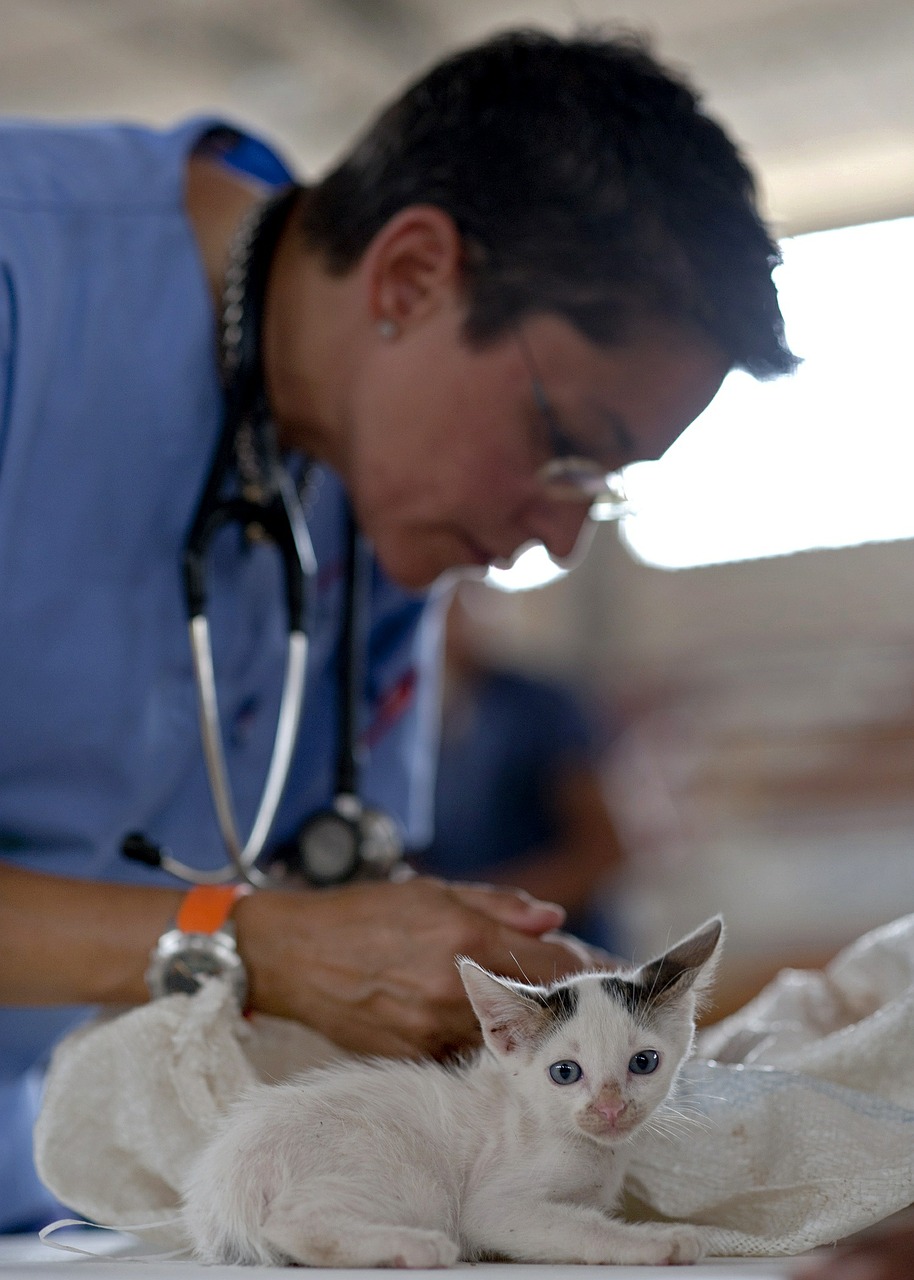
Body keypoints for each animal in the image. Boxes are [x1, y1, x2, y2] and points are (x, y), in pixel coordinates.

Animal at [179, 916, 716, 1264]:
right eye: (565, 1073)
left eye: (644, 1063)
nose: (609, 1108)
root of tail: (224, 1184)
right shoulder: (495, 1207)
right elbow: (577, 1229)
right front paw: (659, 1242)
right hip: (413, 1183)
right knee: (291, 1225)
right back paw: (414, 1249)